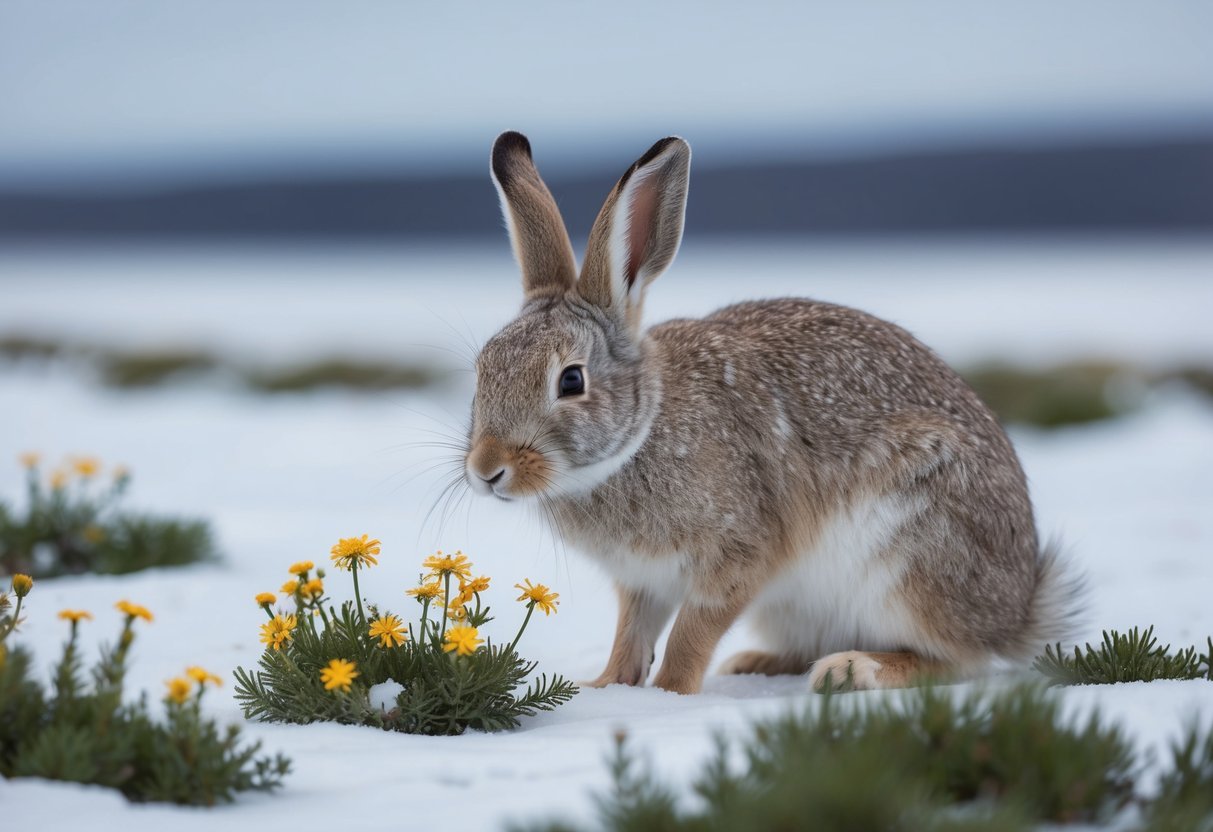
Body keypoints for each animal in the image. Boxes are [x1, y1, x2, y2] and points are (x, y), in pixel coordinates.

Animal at [463, 130, 1083, 695]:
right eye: (482, 368)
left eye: (571, 381)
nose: (486, 471)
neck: (639, 437)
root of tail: (1018, 609)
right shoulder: (643, 584)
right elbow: (630, 636)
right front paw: (606, 687)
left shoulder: (739, 553)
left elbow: (692, 633)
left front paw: (670, 693)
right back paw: (756, 663)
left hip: (912, 555)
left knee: (958, 659)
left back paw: (851, 670)